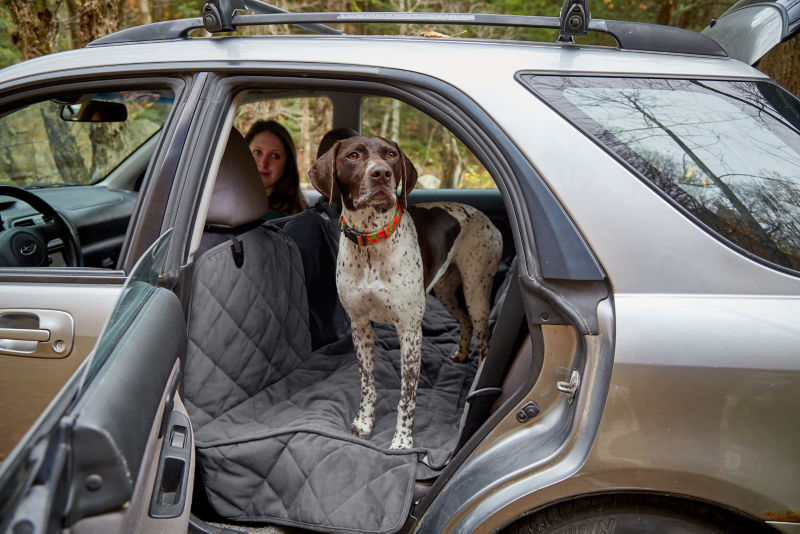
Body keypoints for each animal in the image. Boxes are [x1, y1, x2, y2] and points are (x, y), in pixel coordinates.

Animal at [308, 136, 500, 450]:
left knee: (484, 339)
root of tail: (487, 218)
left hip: (476, 292)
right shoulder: (360, 326)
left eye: (391, 155)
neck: (371, 240)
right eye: (353, 156)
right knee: (465, 323)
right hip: (446, 291)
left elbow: (406, 396)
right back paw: (460, 355)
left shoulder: (410, 331)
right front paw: (364, 424)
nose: (381, 174)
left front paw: (402, 441)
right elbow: (367, 383)